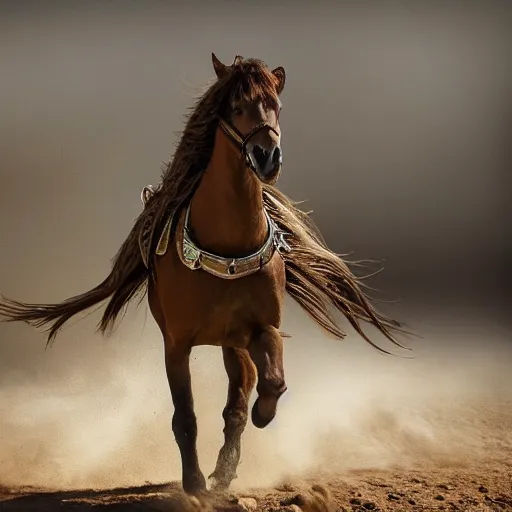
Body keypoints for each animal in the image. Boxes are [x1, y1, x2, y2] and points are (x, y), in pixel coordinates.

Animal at [0, 53, 408, 496]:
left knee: (239, 399)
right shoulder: (177, 345)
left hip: (234, 343)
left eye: (277, 107)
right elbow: (186, 416)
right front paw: (194, 483)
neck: (226, 250)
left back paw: (227, 468)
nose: (267, 157)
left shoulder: (261, 328)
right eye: (236, 106)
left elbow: (270, 384)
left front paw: (261, 416)